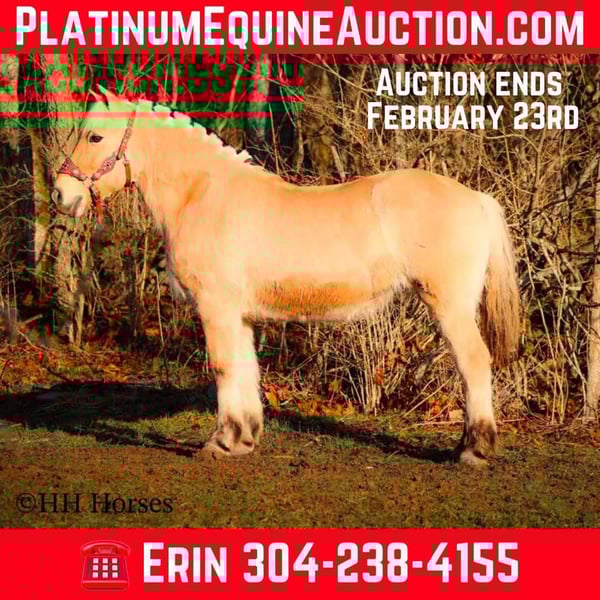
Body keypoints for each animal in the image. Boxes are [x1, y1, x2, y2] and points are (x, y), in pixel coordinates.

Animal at [52, 90, 520, 466]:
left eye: (94, 137)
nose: (61, 194)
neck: (203, 194)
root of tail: (475, 198)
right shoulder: (238, 315)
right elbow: (245, 369)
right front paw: (242, 439)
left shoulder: (216, 308)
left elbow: (223, 368)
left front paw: (219, 442)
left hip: (450, 306)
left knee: (474, 363)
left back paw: (473, 450)